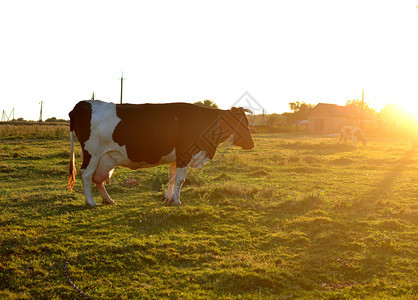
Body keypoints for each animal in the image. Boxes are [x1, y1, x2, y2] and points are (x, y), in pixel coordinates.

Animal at [68, 101, 255, 206]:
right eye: (242, 123)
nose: (251, 144)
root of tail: (81, 104)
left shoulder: (175, 158)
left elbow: (172, 178)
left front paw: (168, 199)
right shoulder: (184, 155)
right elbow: (180, 180)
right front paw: (177, 201)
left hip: (104, 158)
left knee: (98, 179)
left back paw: (107, 200)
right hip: (92, 153)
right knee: (86, 175)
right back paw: (91, 202)